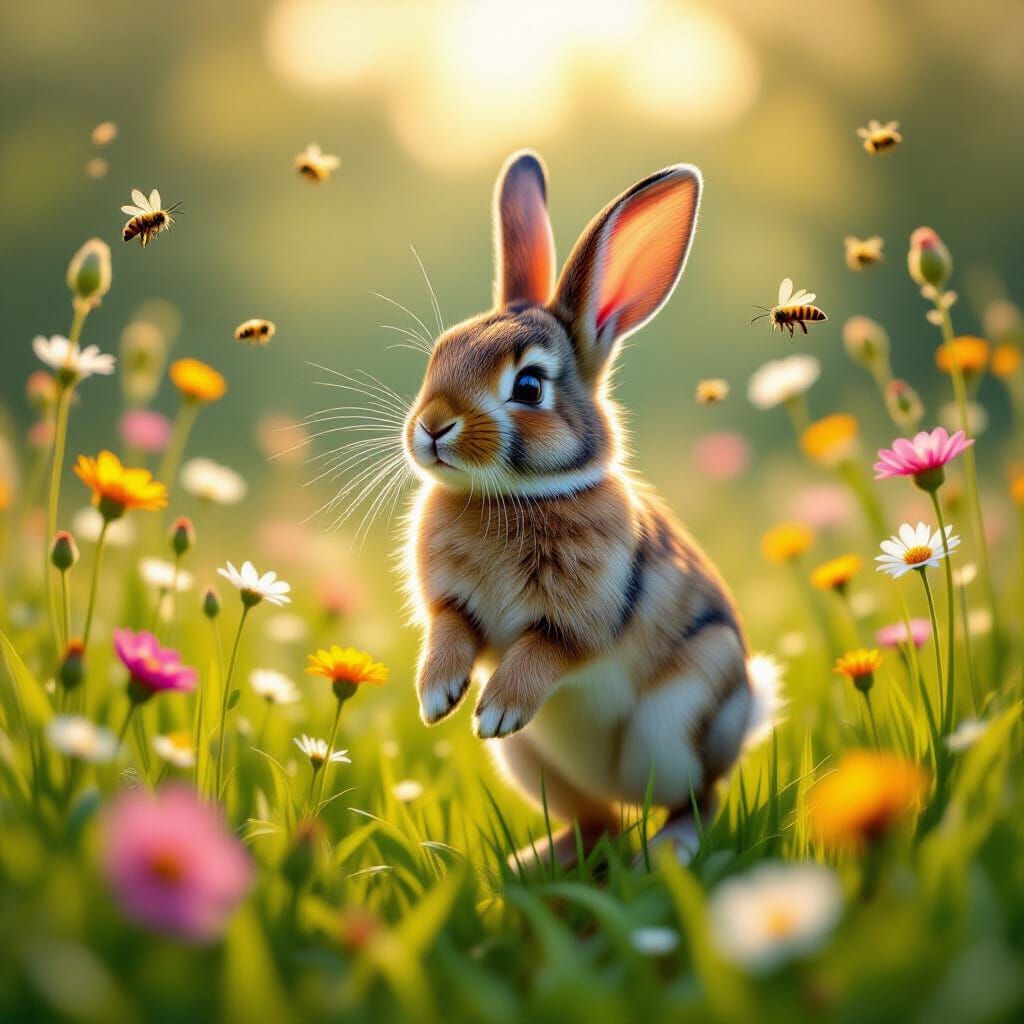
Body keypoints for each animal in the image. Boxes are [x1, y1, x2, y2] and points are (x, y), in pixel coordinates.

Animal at [402, 150, 753, 865]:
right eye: (440, 354)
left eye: (529, 386)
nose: (431, 427)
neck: (514, 493)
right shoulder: (451, 605)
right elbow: (450, 630)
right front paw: (437, 696)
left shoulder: (582, 617)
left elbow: (548, 651)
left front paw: (496, 709)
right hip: (532, 765)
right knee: (598, 821)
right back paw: (532, 861)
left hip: (683, 723)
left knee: (697, 800)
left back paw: (667, 853)